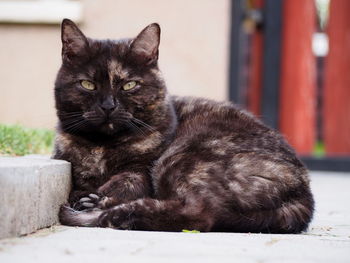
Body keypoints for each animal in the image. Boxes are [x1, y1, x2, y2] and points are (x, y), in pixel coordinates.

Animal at [55, 18, 314, 233]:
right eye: (87, 84)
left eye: (129, 85)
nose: (108, 106)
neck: (102, 147)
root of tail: (303, 191)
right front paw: (82, 194)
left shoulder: (142, 172)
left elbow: (125, 183)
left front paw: (91, 197)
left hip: (182, 159)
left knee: (197, 214)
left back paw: (92, 210)